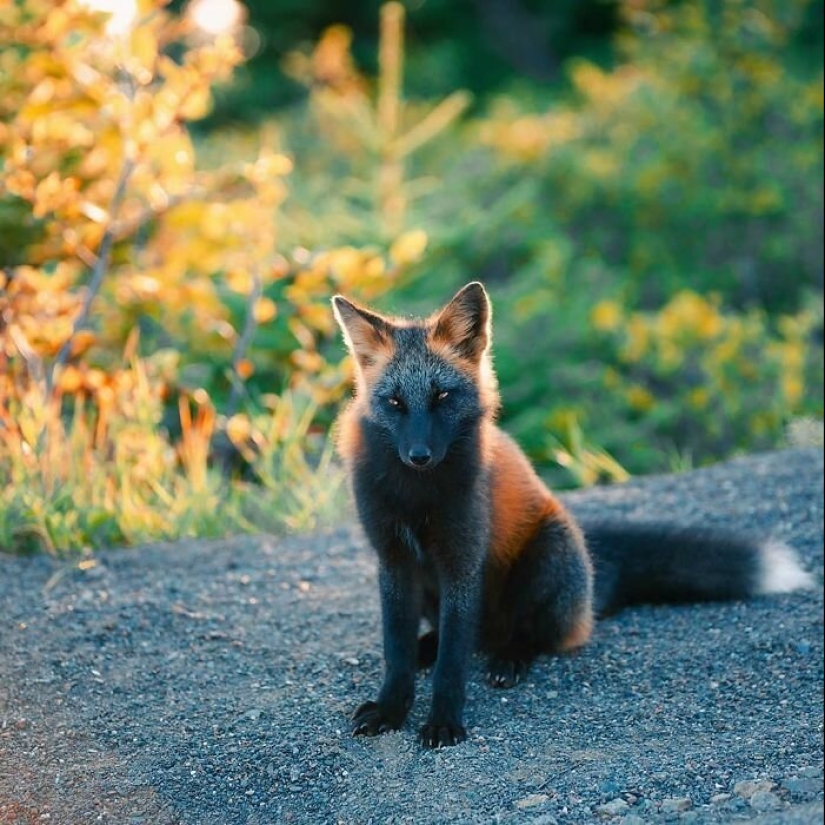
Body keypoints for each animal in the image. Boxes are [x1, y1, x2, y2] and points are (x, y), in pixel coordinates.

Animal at [331, 281, 814, 749]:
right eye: (395, 403)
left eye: (442, 396)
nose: (419, 456)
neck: (416, 498)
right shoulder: (393, 560)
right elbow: (397, 653)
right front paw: (391, 709)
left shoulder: (462, 560)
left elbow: (453, 663)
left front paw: (444, 721)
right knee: (461, 636)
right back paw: (429, 647)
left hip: (548, 555)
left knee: (527, 634)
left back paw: (510, 657)